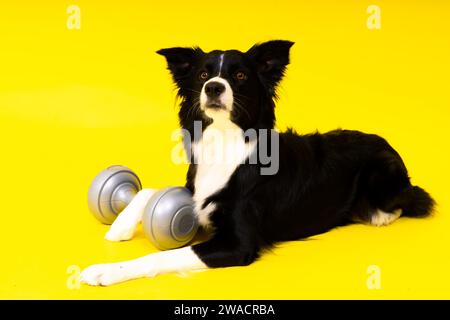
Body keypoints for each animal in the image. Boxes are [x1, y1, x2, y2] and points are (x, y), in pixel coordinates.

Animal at [79, 39, 434, 284]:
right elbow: (149, 189)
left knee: (413, 197)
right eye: (204, 74)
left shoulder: (237, 244)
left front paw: (105, 271)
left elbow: (160, 258)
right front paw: (121, 226)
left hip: (382, 175)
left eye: (239, 75)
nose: (213, 87)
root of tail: (384, 140)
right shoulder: (197, 192)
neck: (225, 141)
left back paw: (378, 214)